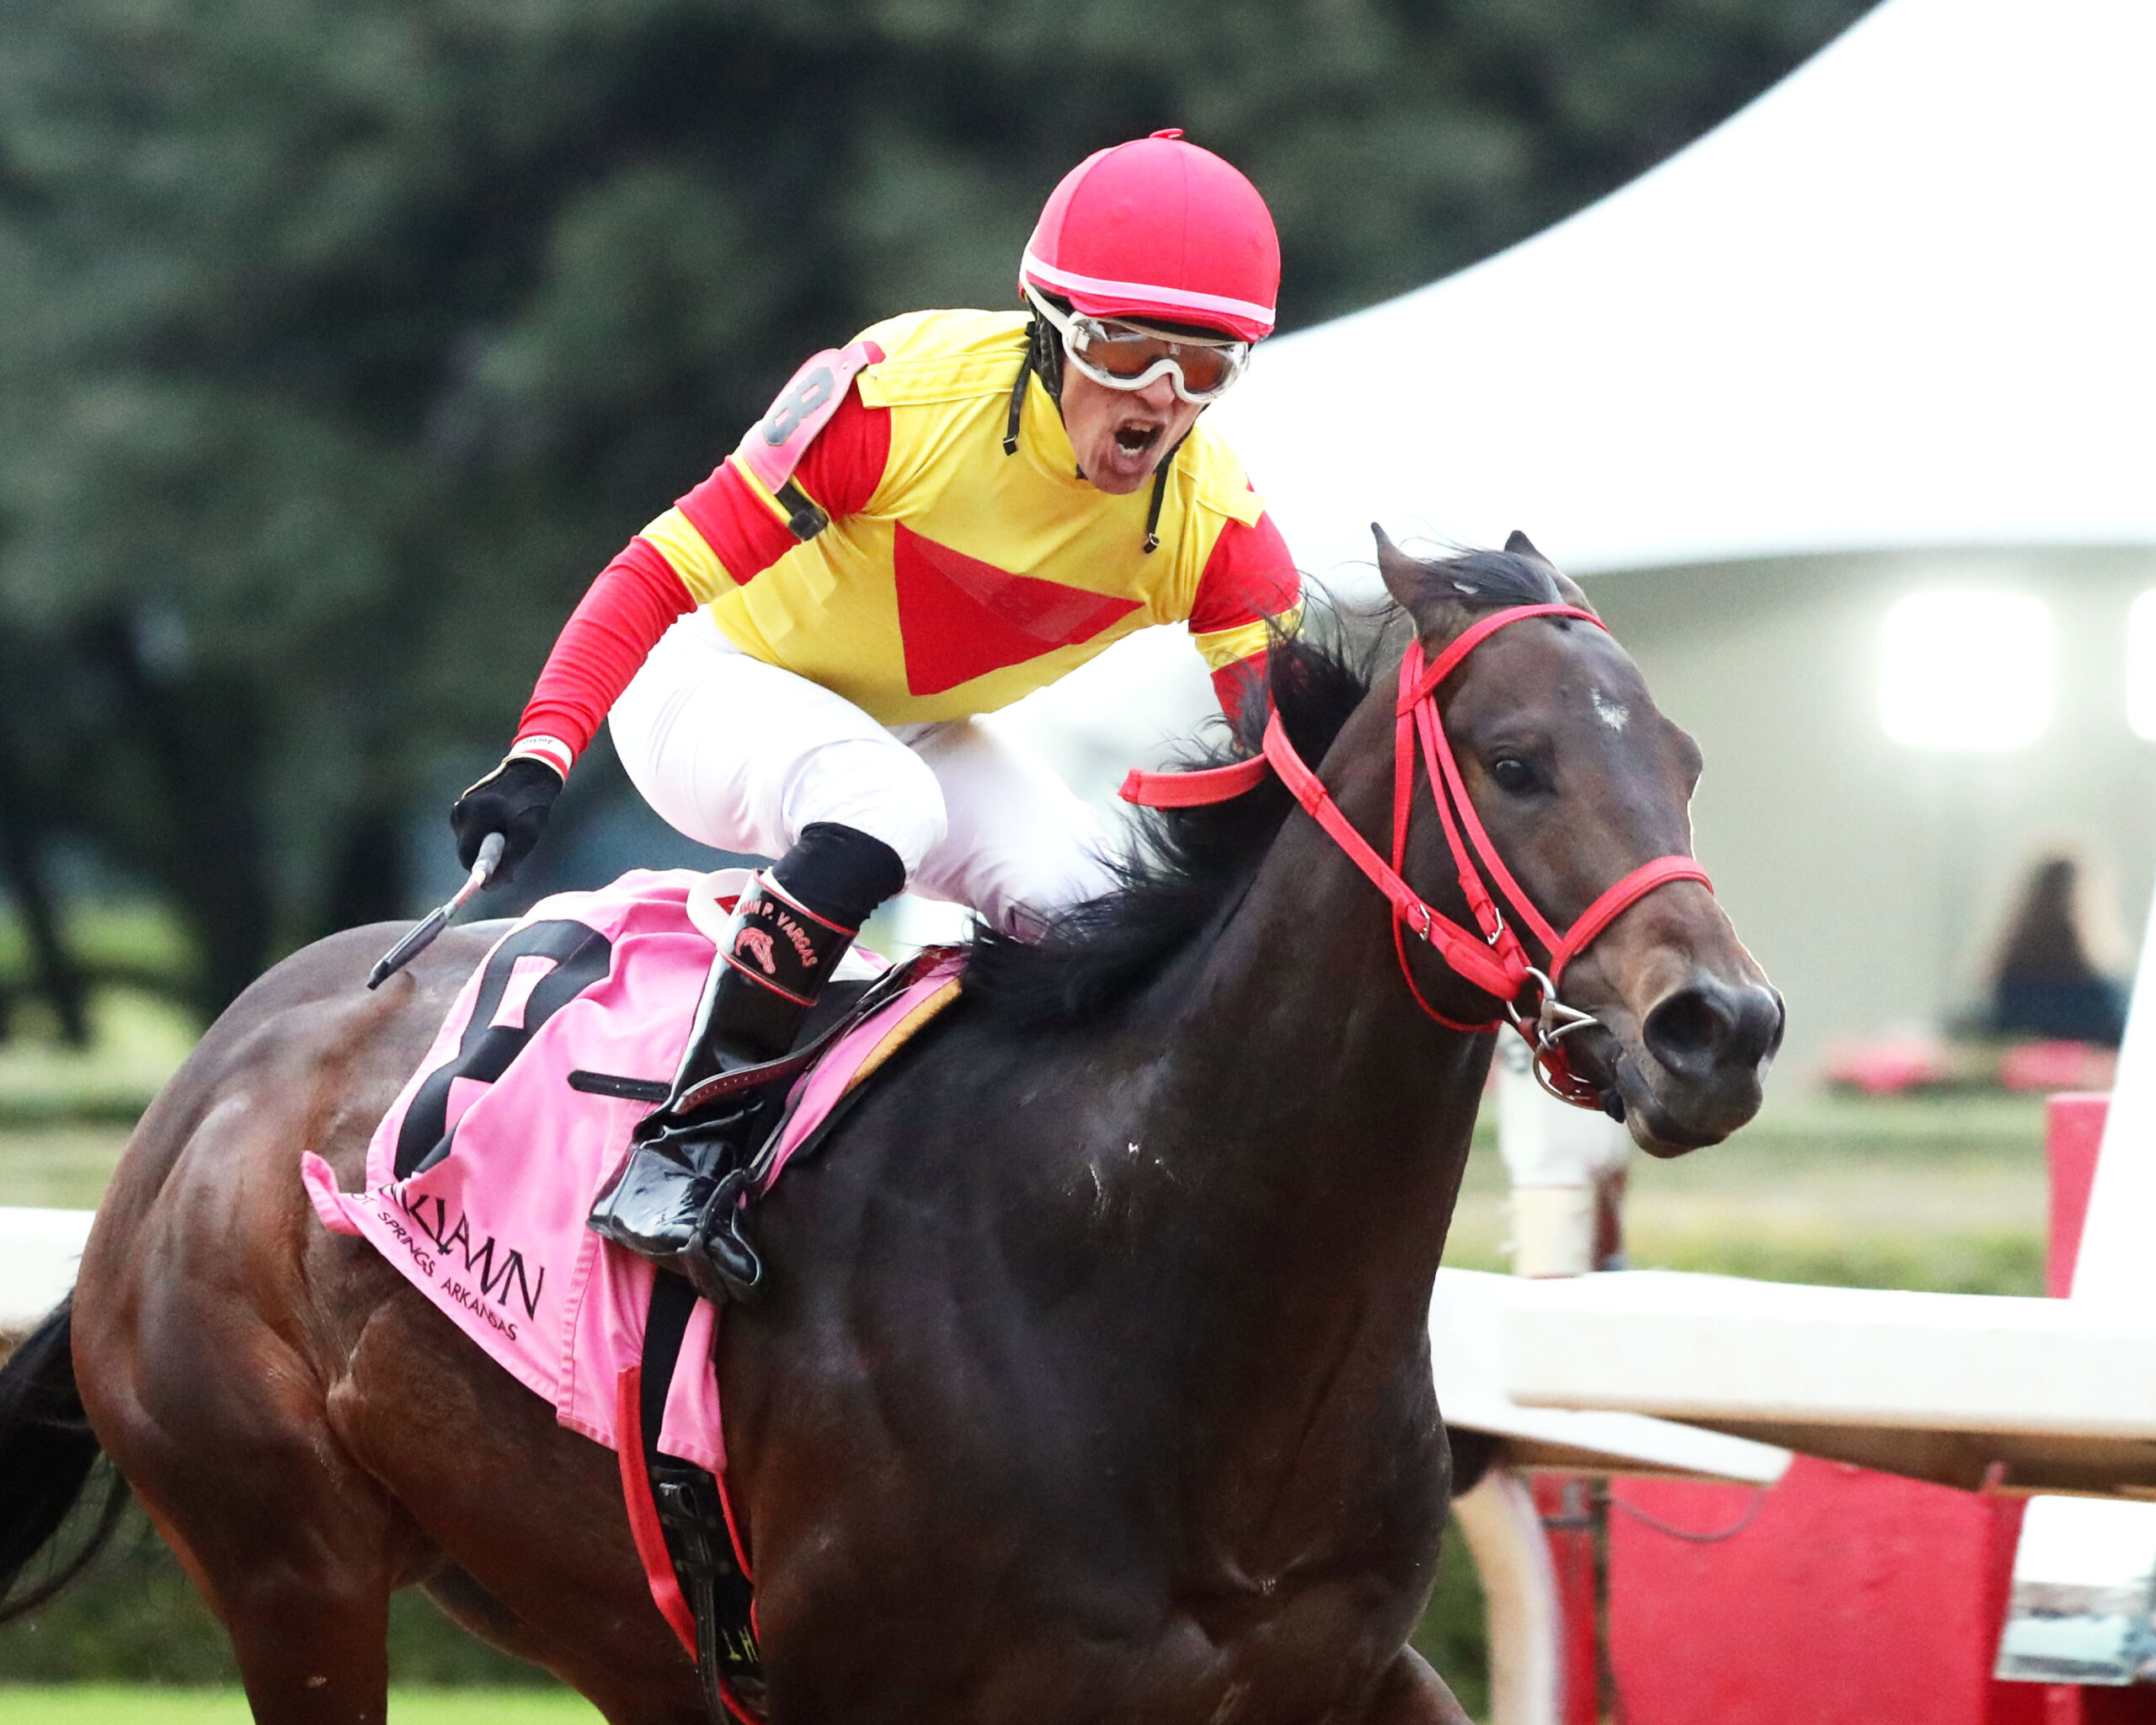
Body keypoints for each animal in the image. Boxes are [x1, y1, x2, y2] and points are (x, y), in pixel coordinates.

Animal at [0, 532, 1785, 1716]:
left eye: (1688, 758)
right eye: (1518, 758)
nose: (1722, 1028)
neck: (1149, 1259)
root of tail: (200, 1086)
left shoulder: (1336, 1667)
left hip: (608, 1614)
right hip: (287, 1559)